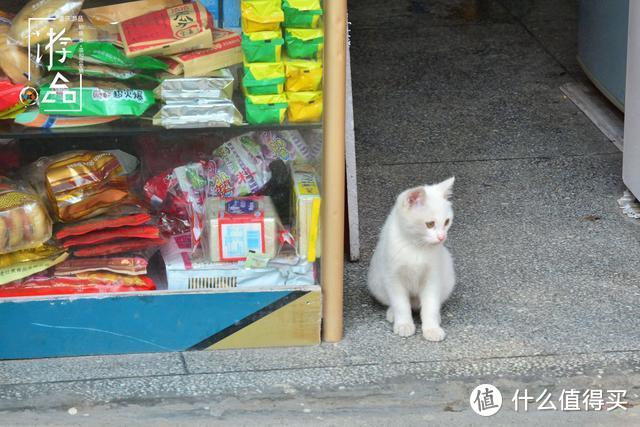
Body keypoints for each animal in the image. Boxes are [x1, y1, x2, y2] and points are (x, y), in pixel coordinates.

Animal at [364, 177, 456, 342]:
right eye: (430, 224)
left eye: (447, 222)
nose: (442, 237)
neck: (415, 246)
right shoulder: (393, 277)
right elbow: (400, 304)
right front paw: (404, 324)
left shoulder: (433, 277)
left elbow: (431, 304)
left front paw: (432, 328)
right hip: (375, 282)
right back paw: (392, 313)